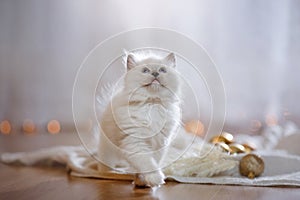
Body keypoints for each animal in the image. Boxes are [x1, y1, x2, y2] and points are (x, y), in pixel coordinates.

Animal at [99, 51, 182, 188]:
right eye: (145, 70)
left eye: (162, 70)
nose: (155, 73)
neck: (152, 104)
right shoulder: (134, 141)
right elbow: (147, 162)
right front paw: (154, 179)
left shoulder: (160, 143)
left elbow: (152, 162)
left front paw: (142, 182)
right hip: (107, 148)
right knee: (105, 162)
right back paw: (107, 173)